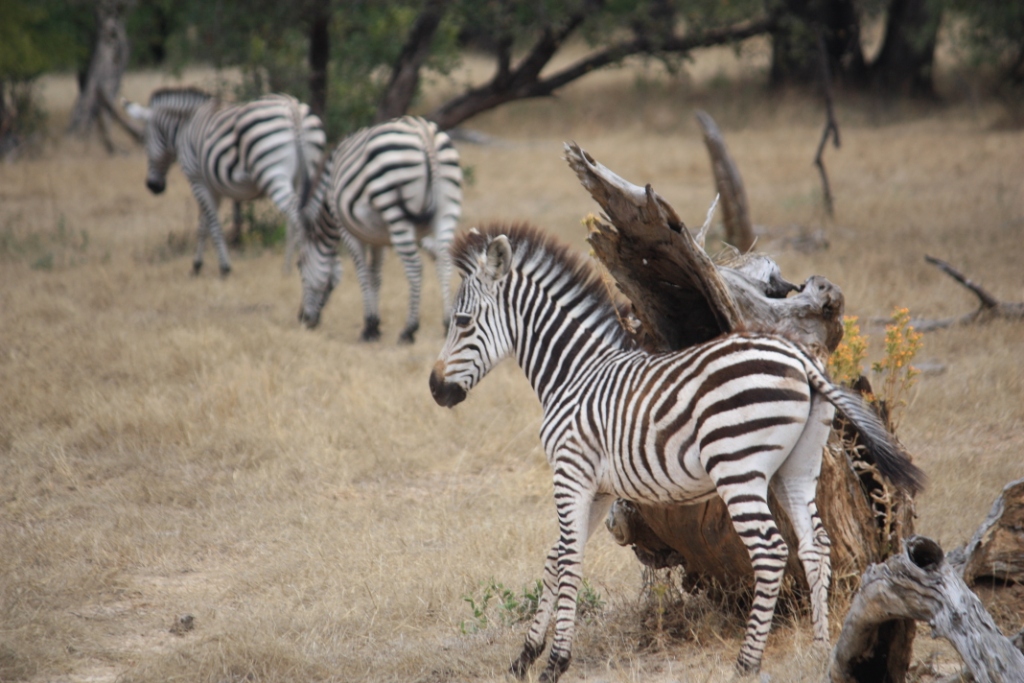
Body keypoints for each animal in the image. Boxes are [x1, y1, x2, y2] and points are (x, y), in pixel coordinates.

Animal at [124, 88, 326, 276]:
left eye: (143, 139)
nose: (153, 186)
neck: (185, 125)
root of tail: (293, 109)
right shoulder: (213, 186)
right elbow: (203, 224)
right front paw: (197, 265)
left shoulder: (197, 179)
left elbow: (212, 223)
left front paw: (223, 267)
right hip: (307, 171)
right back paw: (287, 268)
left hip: (272, 171)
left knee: (296, 214)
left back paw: (303, 264)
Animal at [297, 115, 462, 343]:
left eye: (300, 265)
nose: (303, 319)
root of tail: (424, 132)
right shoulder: (377, 237)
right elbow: (375, 275)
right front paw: (375, 326)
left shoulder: (348, 231)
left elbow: (362, 274)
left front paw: (369, 325)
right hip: (447, 206)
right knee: (444, 261)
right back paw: (447, 323)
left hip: (392, 205)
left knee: (415, 267)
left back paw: (409, 330)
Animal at [428, 223, 925, 681]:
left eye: (462, 322)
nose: (435, 389)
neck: (574, 373)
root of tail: (800, 358)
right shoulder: (599, 487)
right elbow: (556, 559)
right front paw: (524, 657)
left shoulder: (570, 472)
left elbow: (568, 561)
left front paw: (554, 663)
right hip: (797, 468)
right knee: (816, 545)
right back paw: (822, 648)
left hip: (737, 468)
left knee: (770, 551)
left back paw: (746, 663)